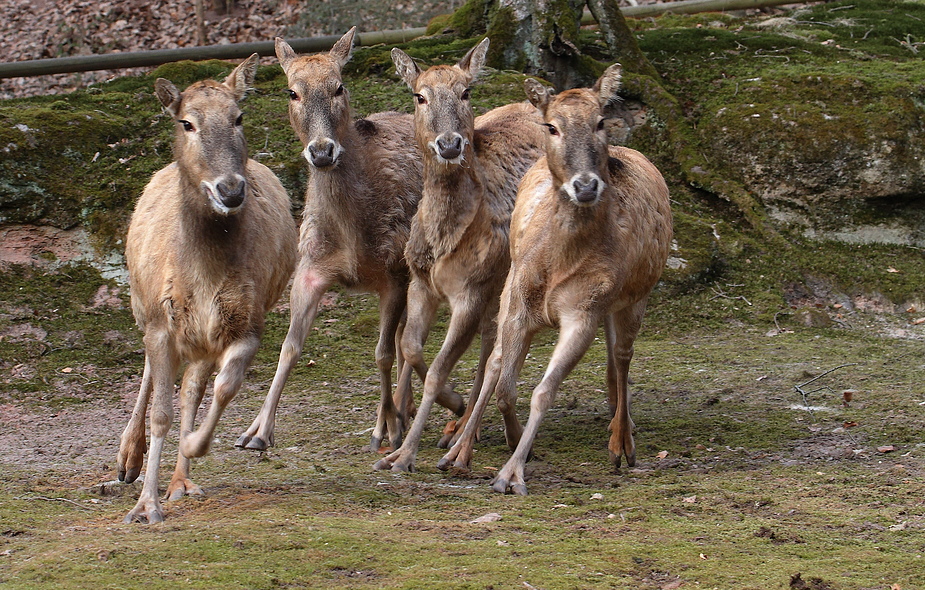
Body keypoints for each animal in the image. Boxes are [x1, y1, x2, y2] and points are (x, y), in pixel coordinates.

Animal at [115, 53, 296, 524]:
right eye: (187, 122)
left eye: (239, 116)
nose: (230, 189)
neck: (204, 271)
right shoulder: (161, 321)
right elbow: (160, 412)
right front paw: (146, 506)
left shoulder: (246, 322)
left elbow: (224, 387)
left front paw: (195, 446)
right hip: (141, 304)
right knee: (148, 371)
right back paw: (128, 460)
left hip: (200, 337)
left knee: (193, 390)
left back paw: (180, 480)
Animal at [235, 25, 466, 456]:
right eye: (292, 91)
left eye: (339, 86)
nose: (322, 151)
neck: (353, 239)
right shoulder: (309, 267)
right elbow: (289, 345)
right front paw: (257, 430)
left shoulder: (393, 272)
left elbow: (382, 353)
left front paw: (385, 428)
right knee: (406, 336)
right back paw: (408, 409)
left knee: (406, 340)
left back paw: (409, 413)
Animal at [372, 38, 544, 476]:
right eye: (420, 96)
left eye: (466, 91)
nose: (449, 144)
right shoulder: (421, 282)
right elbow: (412, 348)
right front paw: (447, 406)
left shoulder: (471, 290)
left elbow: (437, 369)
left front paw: (405, 455)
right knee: (489, 341)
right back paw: (460, 428)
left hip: (507, 280)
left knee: (494, 347)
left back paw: (467, 435)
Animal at [436, 63, 676, 494]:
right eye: (552, 126)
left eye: (601, 121)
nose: (586, 184)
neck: (558, 263)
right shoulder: (518, 303)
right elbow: (505, 383)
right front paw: (483, 454)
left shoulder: (584, 311)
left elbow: (544, 392)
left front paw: (510, 474)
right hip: (513, 291)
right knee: (497, 362)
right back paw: (457, 449)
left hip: (637, 295)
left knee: (622, 354)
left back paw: (622, 440)